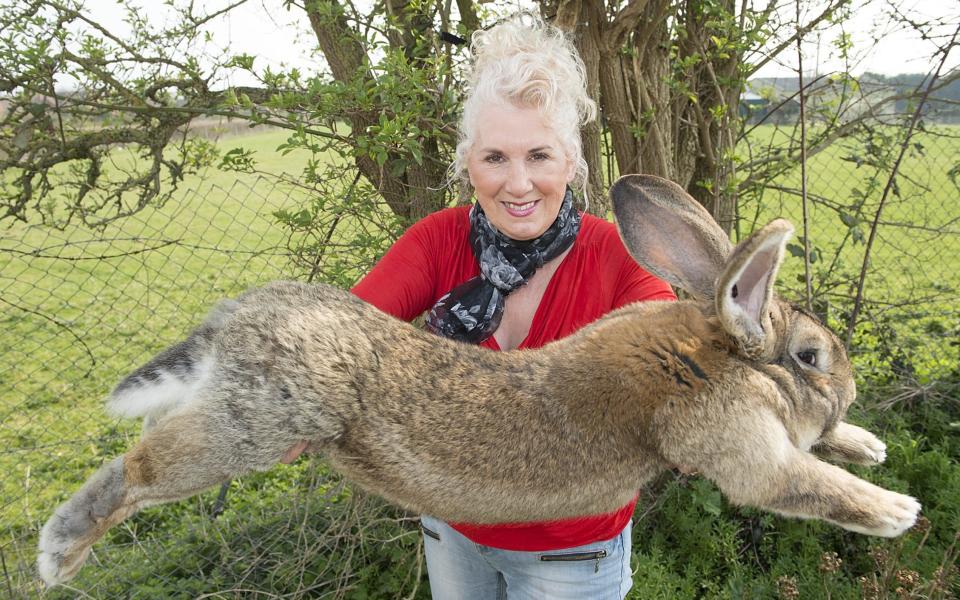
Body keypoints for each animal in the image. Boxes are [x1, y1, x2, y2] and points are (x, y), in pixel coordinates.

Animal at [39, 173, 924, 584]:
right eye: (810, 357)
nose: (847, 390)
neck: (715, 353)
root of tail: (233, 322)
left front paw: (869, 444)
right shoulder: (741, 447)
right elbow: (803, 483)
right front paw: (896, 509)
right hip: (256, 426)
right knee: (138, 468)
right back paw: (59, 555)